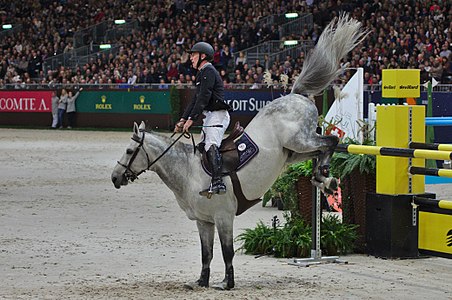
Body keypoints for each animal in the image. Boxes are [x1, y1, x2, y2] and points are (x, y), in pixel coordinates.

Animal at [111, 15, 366, 290]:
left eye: (129, 150)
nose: (114, 177)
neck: (187, 172)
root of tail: (296, 95)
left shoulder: (223, 217)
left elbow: (227, 252)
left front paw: (227, 283)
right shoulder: (204, 221)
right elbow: (207, 253)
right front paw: (201, 281)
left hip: (300, 140)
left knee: (330, 141)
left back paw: (326, 177)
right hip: (293, 153)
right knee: (320, 150)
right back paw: (322, 178)